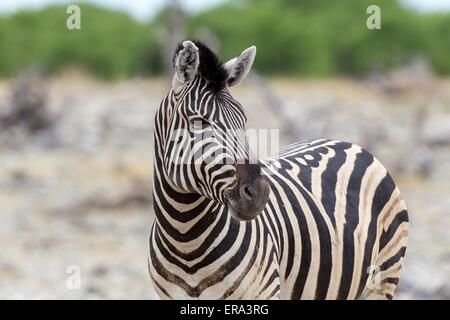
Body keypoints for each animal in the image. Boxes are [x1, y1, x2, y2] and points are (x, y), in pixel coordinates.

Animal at [148, 40, 408, 300]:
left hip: (384, 278)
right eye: (199, 121)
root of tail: (346, 143)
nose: (259, 193)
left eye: (243, 120)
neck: (186, 240)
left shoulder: (264, 292)